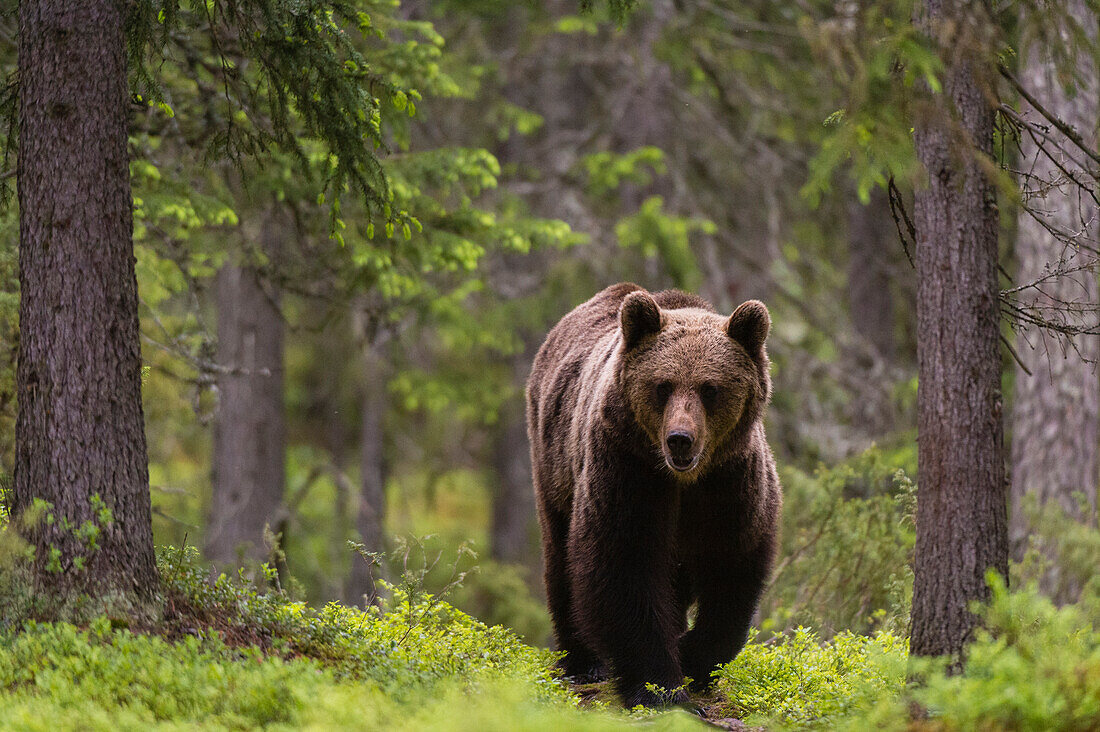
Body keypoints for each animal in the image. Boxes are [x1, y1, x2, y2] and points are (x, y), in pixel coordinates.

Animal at [525, 281, 778, 704]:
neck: (683, 480)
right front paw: (659, 688)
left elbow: (732, 565)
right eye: (663, 385)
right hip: (554, 463)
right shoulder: (628, 468)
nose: (680, 439)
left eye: (710, 388)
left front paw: (693, 659)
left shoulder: (730, 481)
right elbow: (625, 564)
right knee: (560, 555)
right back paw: (582, 660)